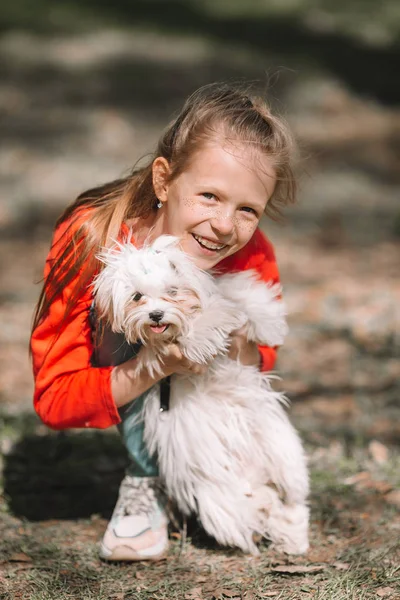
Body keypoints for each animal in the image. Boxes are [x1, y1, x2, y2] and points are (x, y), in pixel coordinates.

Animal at [94, 237, 310, 556]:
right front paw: (203, 335)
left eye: (173, 291)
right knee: (258, 509)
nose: (156, 315)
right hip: (218, 495)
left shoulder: (228, 290)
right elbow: (192, 333)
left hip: (283, 454)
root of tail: (252, 477)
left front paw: (268, 324)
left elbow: (242, 302)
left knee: (292, 501)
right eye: (137, 297)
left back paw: (293, 539)